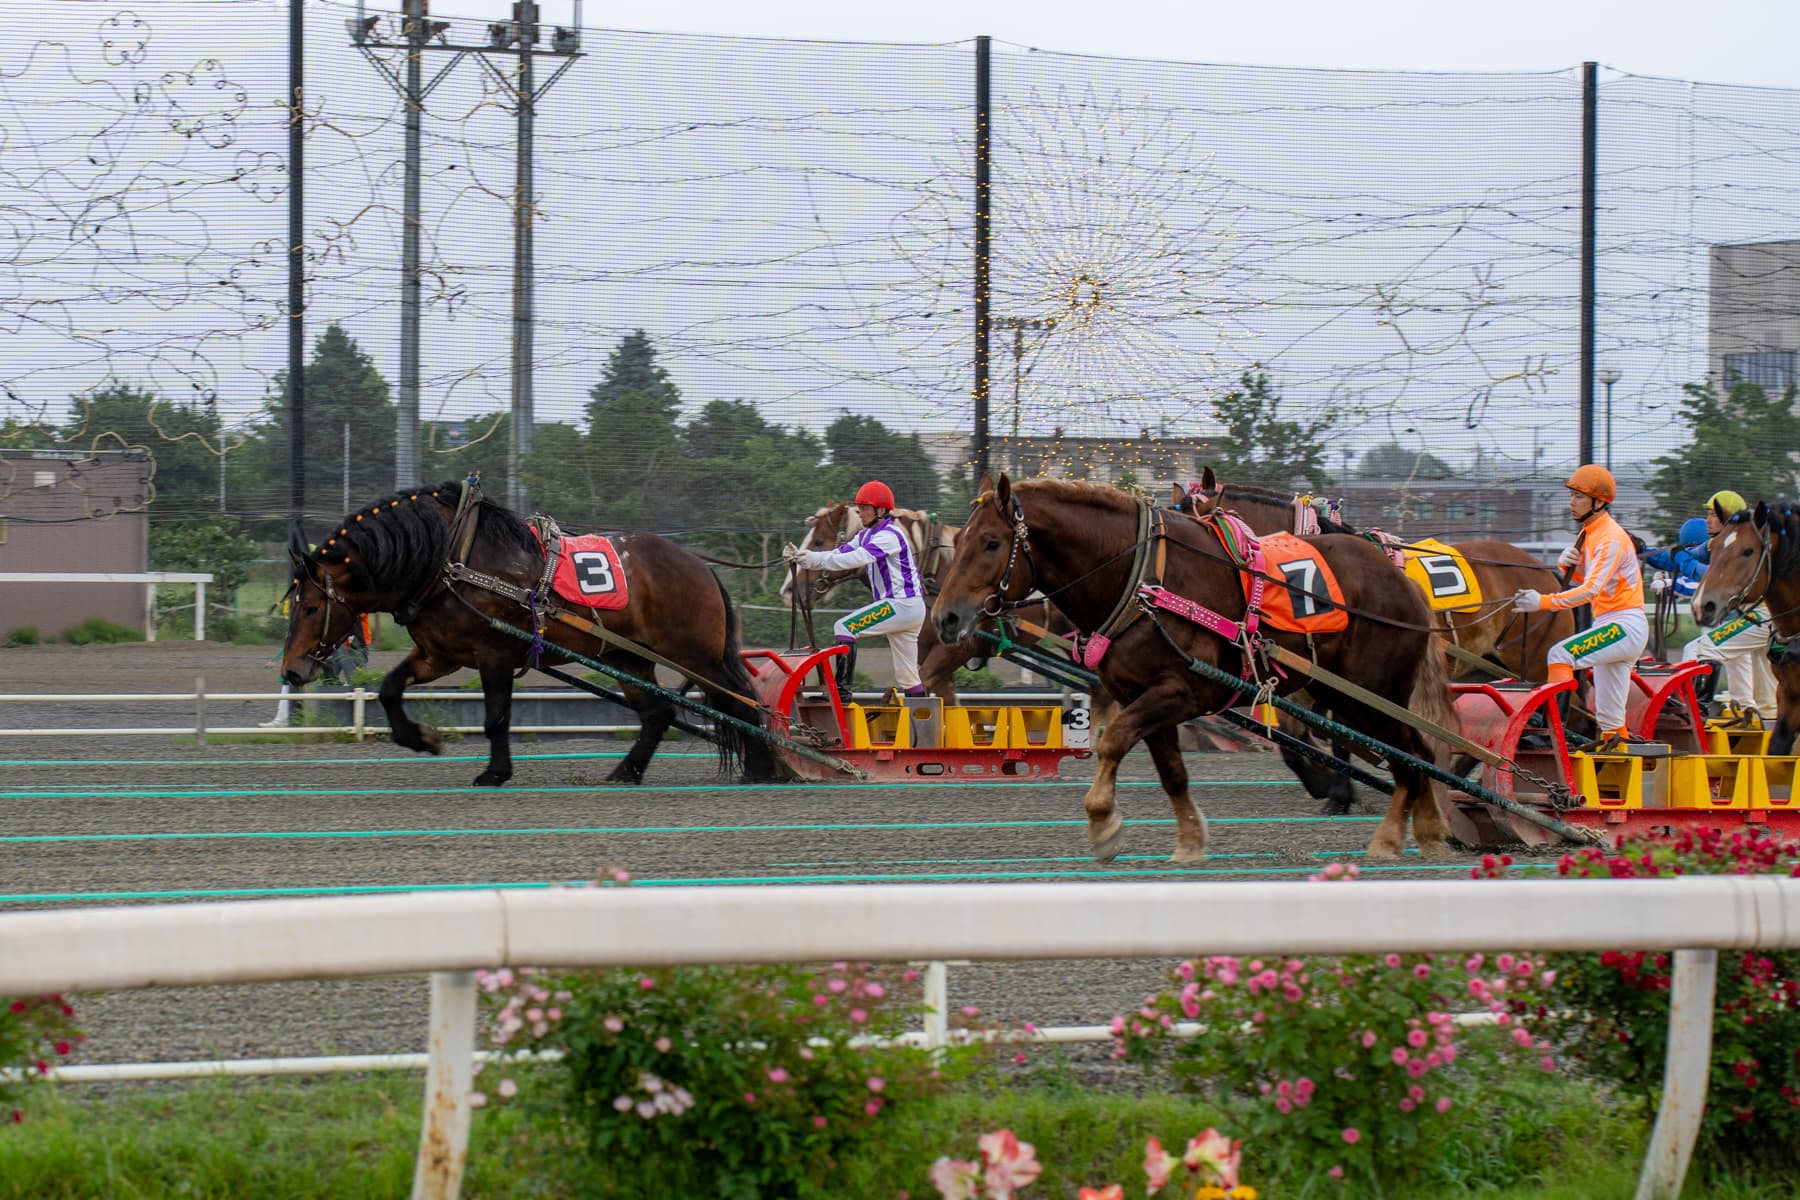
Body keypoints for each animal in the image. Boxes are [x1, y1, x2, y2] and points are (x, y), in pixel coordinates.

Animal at [277, 478, 777, 788]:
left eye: (312, 606)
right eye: (294, 604)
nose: (292, 670)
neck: (452, 558)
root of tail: (701, 567)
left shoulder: (494, 652)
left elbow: (497, 717)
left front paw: (495, 772)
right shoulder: (440, 654)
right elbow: (388, 689)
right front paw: (421, 738)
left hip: (696, 654)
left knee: (743, 703)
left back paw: (764, 767)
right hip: (627, 657)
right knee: (658, 713)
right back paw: (628, 771)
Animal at [928, 474, 1461, 859]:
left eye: (992, 543)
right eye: (963, 538)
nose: (946, 617)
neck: (1143, 578)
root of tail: (1400, 578)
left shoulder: (1181, 691)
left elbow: (1114, 741)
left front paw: (1103, 822)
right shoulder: (1142, 694)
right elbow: (1171, 772)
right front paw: (1189, 842)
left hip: (1374, 690)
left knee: (1410, 755)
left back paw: (1393, 837)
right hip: (1344, 694)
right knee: (1413, 753)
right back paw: (1430, 830)